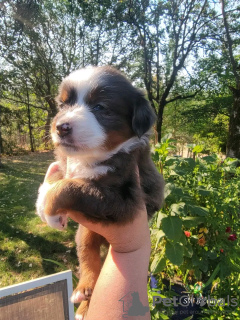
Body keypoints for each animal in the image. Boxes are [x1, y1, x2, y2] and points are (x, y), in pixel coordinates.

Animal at [35, 66, 164, 318]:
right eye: (63, 105)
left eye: (100, 107)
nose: (61, 127)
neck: (90, 158)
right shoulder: (66, 163)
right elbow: (57, 176)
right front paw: (48, 211)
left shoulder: (122, 199)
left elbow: (72, 186)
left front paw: (50, 207)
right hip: (86, 232)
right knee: (88, 255)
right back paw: (83, 291)